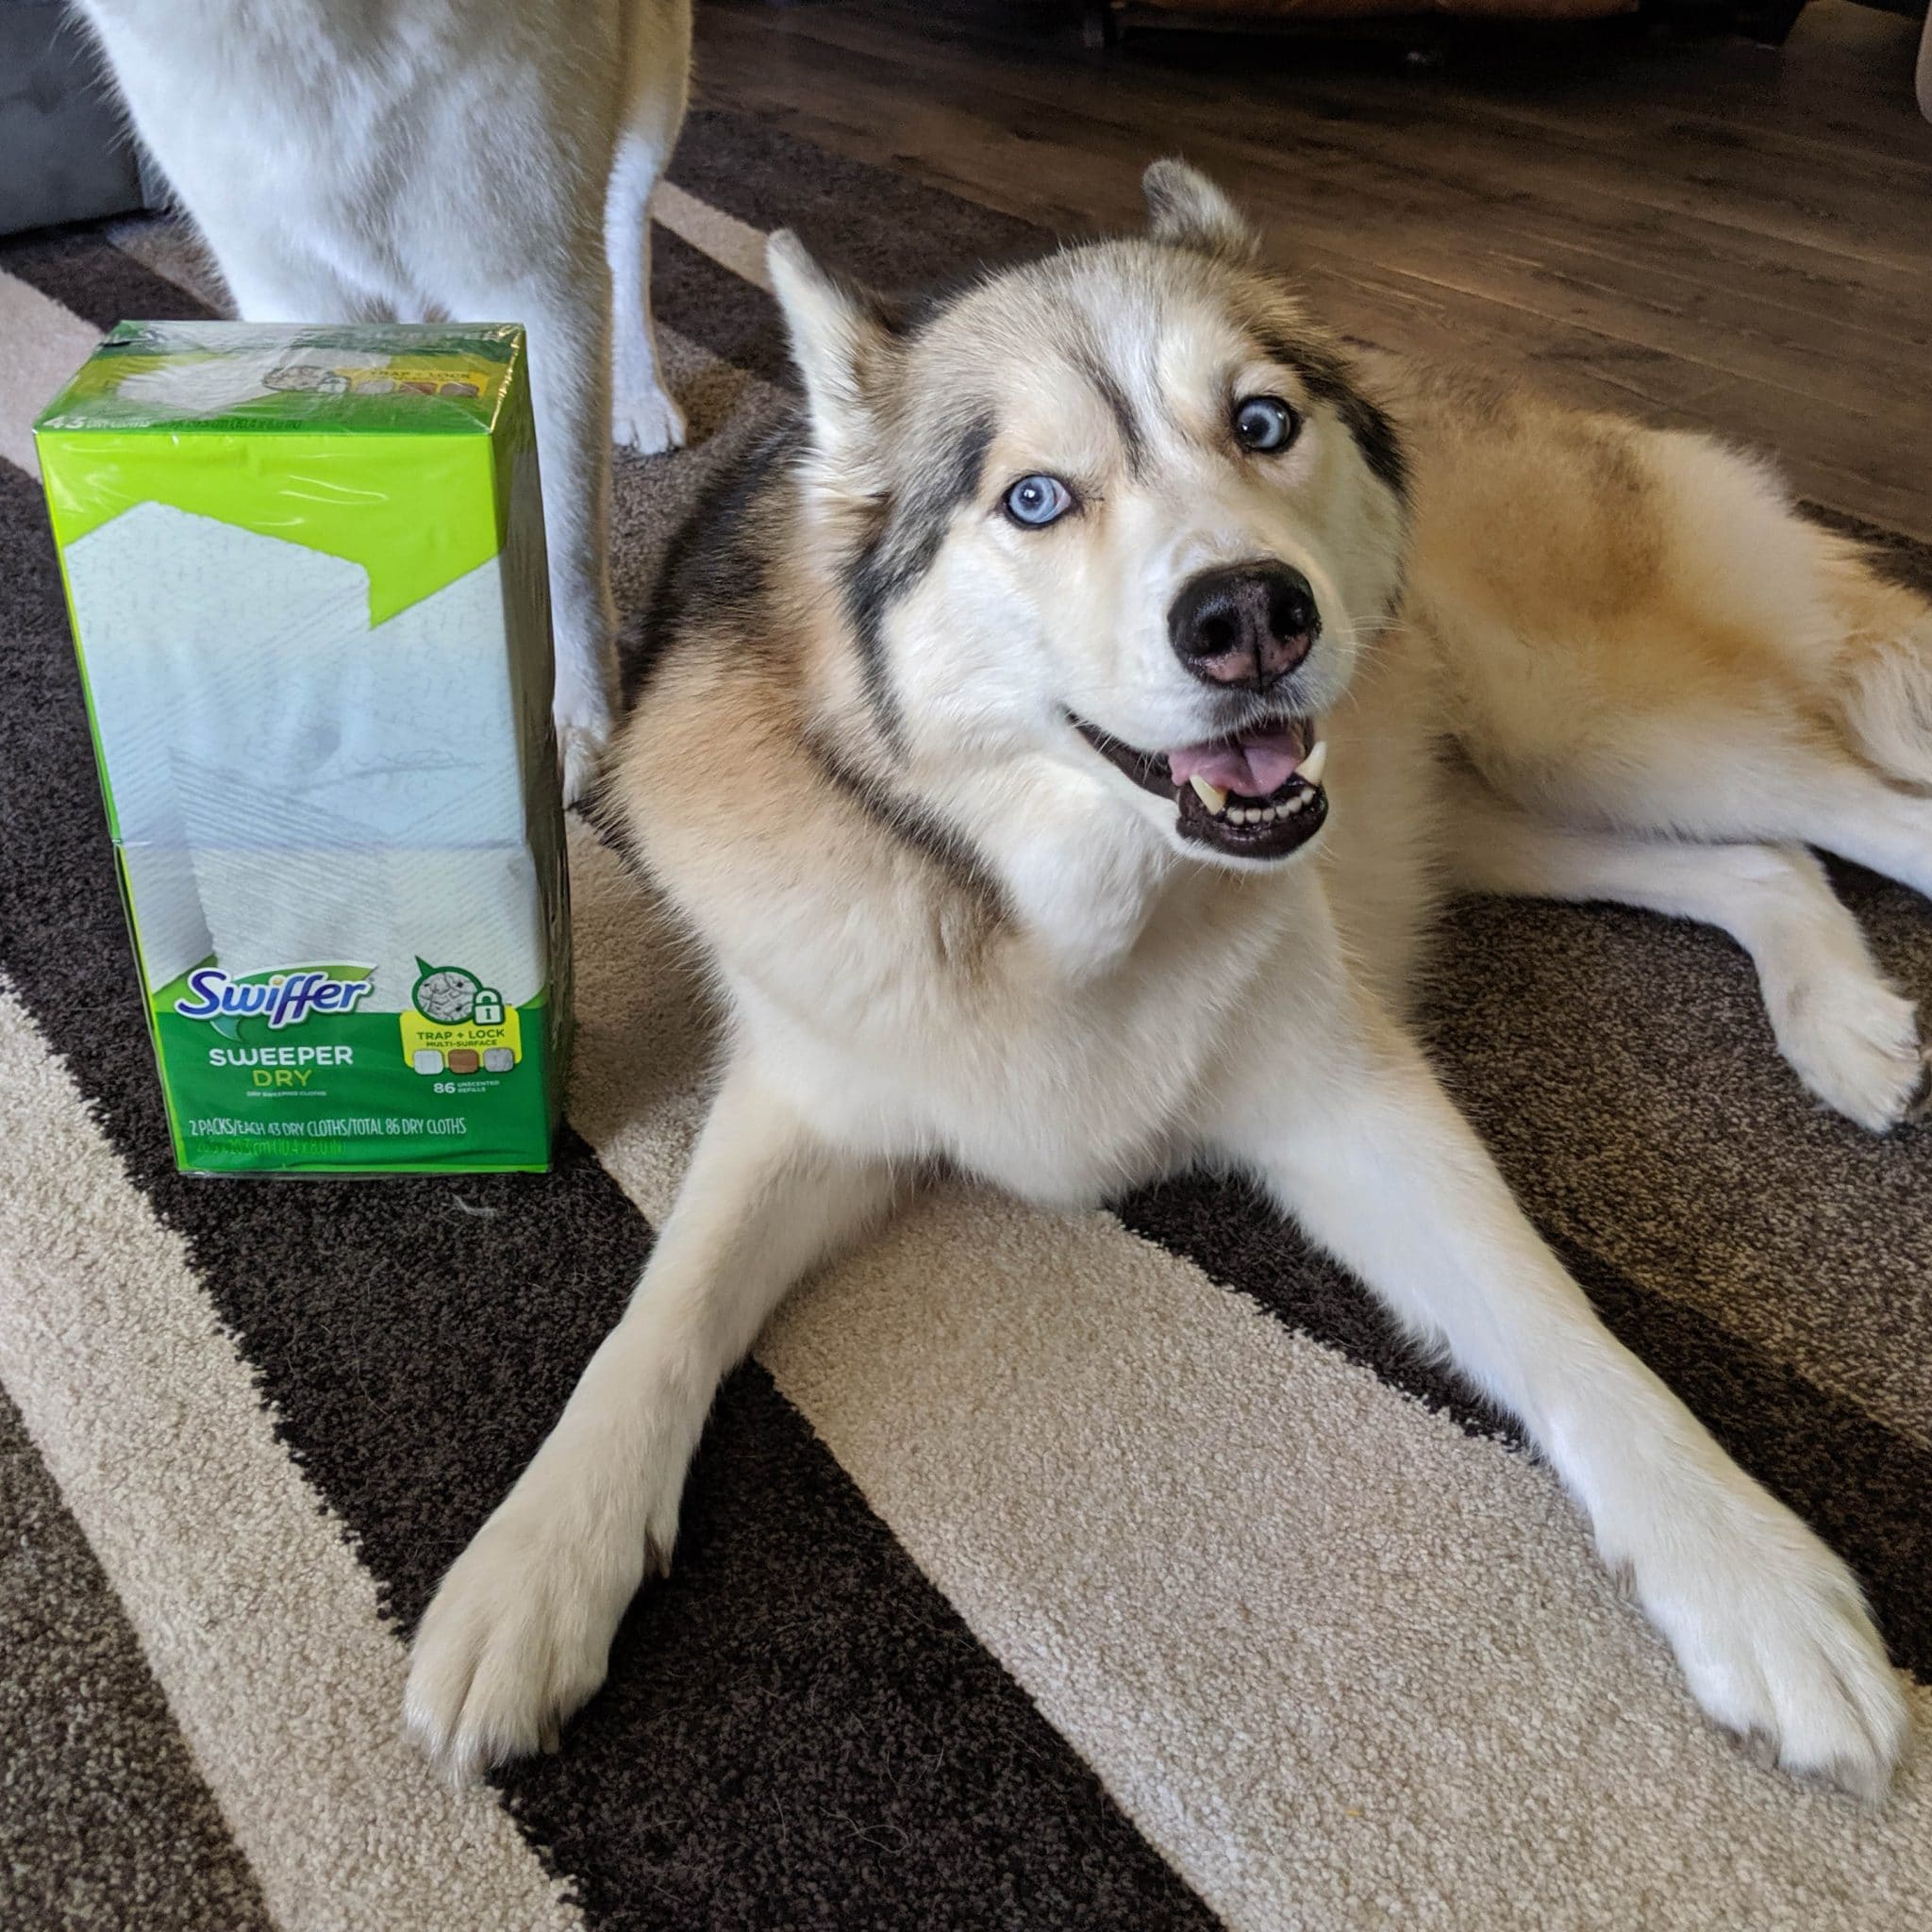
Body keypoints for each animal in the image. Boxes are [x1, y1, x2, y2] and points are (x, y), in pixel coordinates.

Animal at [74, 0, 693, 802]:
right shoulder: (289, 289)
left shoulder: (538, 280)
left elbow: (562, 544)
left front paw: (564, 723)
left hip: (653, 92)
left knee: (627, 224)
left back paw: (641, 394)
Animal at [406, 162, 1928, 1795]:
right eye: (1033, 496)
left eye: (1261, 423)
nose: (1252, 615)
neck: (1060, 906)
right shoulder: (805, 1106)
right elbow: (657, 1322)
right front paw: (534, 1566)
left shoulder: (1355, 1102)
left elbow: (1559, 1325)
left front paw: (1743, 1569)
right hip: (1498, 808)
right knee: (1763, 863)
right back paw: (1841, 1022)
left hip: (1584, 720)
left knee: (1862, 808)